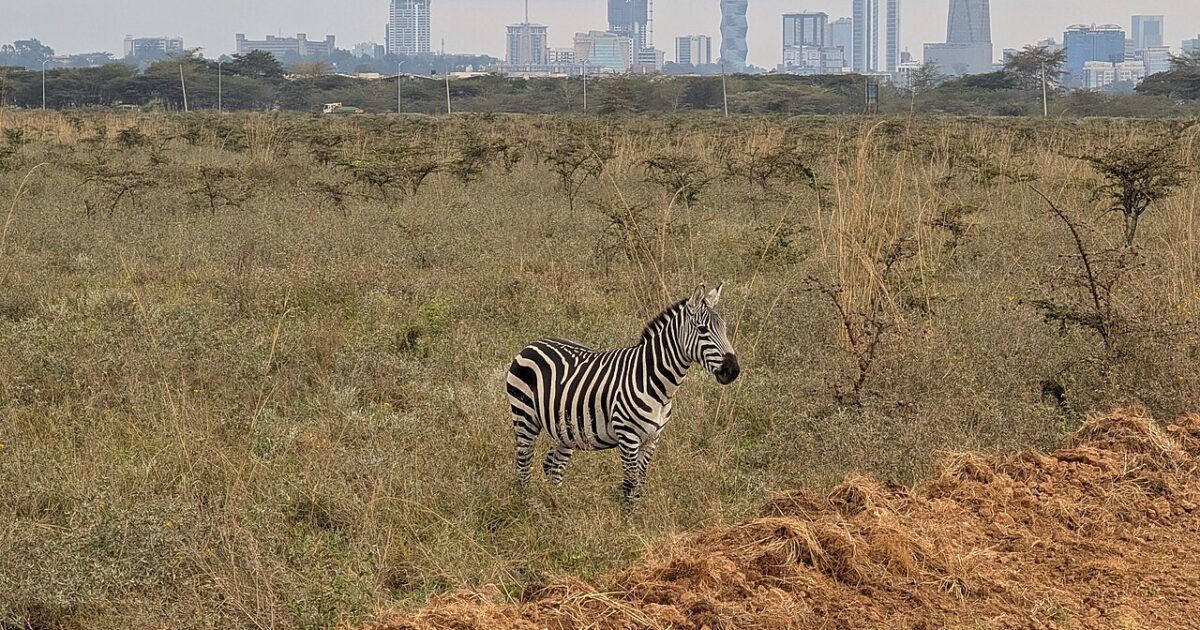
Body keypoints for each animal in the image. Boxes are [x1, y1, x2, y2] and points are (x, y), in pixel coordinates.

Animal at [505, 283, 741, 503]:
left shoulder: (652, 439)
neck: (653, 381)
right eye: (702, 330)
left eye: (725, 328)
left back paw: (558, 505)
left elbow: (641, 483)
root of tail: (532, 344)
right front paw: (628, 519)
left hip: (565, 428)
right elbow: (629, 484)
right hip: (525, 417)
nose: (733, 371)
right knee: (524, 463)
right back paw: (529, 505)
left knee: (553, 466)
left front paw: (639, 516)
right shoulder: (628, 437)